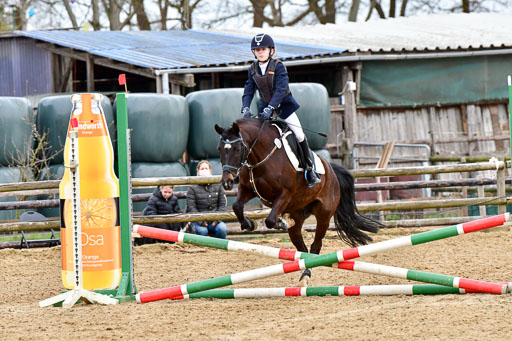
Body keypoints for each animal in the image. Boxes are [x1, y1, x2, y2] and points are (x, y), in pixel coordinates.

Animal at [213, 117, 380, 282]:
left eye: (238, 149)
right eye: (219, 149)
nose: (227, 182)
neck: (261, 157)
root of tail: (332, 170)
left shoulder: (285, 193)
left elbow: (270, 220)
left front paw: (280, 222)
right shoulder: (247, 189)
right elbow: (237, 206)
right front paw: (249, 224)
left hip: (324, 215)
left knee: (315, 245)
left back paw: (306, 270)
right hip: (299, 216)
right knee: (302, 249)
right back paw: (304, 270)